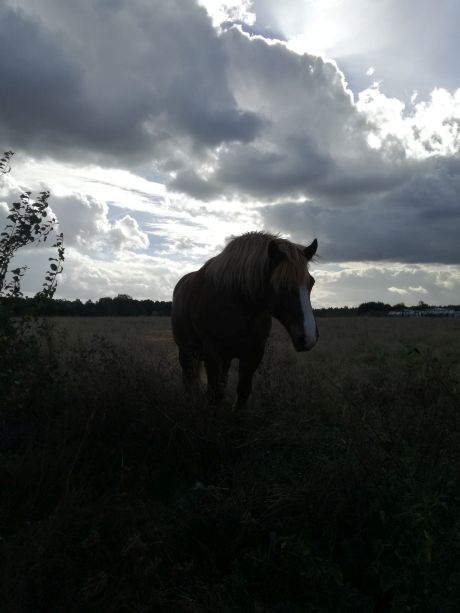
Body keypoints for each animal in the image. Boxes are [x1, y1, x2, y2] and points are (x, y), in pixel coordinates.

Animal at [171, 232, 318, 408]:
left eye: (311, 282)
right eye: (282, 284)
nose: (309, 338)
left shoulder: (253, 354)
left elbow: (242, 394)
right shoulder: (213, 355)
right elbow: (214, 395)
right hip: (185, 350)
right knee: (188, 379)